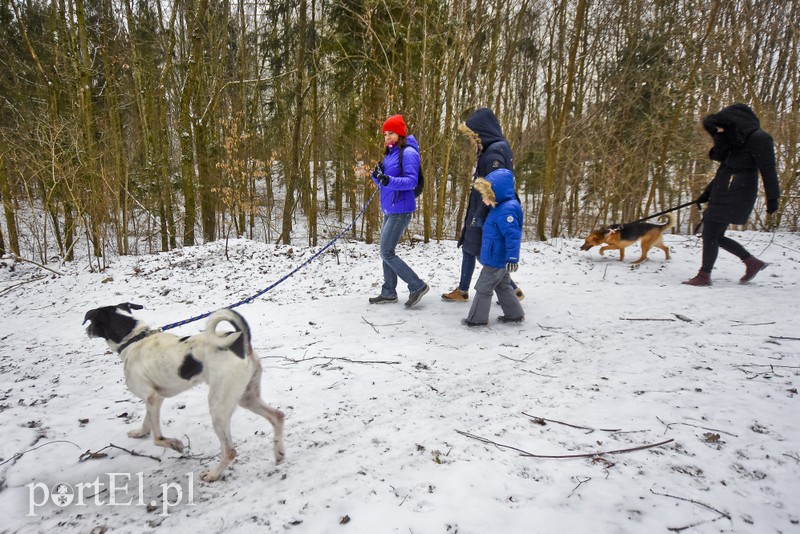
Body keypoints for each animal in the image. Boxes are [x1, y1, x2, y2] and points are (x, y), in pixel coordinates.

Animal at [83, 304, 284, 484]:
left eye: (92, 321)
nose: (86, 330)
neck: (134, 339)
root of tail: (240, 342)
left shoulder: (153, 398)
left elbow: (157, 438)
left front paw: (174, 444)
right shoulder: (153, 398)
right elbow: (147, 422)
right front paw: (140, 433)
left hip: (218, 407)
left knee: (229, 450)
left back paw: (213, 475)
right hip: (247, 397)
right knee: (278, 416)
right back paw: (279, 454)